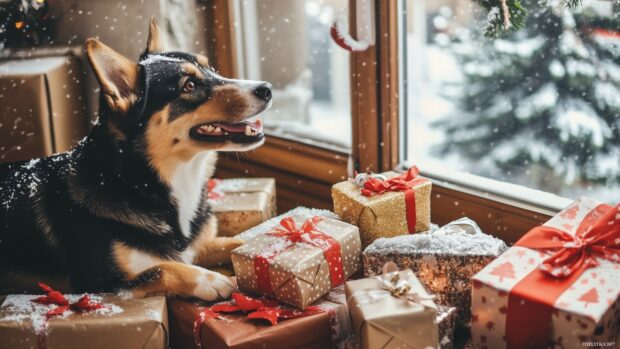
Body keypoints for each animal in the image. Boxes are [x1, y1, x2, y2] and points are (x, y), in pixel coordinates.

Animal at [0, 17, 272, 300]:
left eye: (211, 69)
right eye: (189, 85)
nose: (267, 89)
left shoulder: (200, 246)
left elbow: (238, 241)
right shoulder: (99, 283)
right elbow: (165, 268)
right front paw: (211, 280)